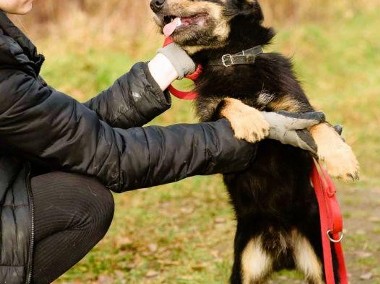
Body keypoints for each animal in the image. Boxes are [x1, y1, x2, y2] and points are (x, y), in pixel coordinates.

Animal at [150, 1, 358, 282]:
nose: (153, 5)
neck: (231, 58)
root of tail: (283, 252)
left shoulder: (297, 110)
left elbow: (319, 125)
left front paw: (342, 160)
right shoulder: (211, 116)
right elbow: (226, 101)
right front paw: (251, 120)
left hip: (322, 264)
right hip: (245, 266)